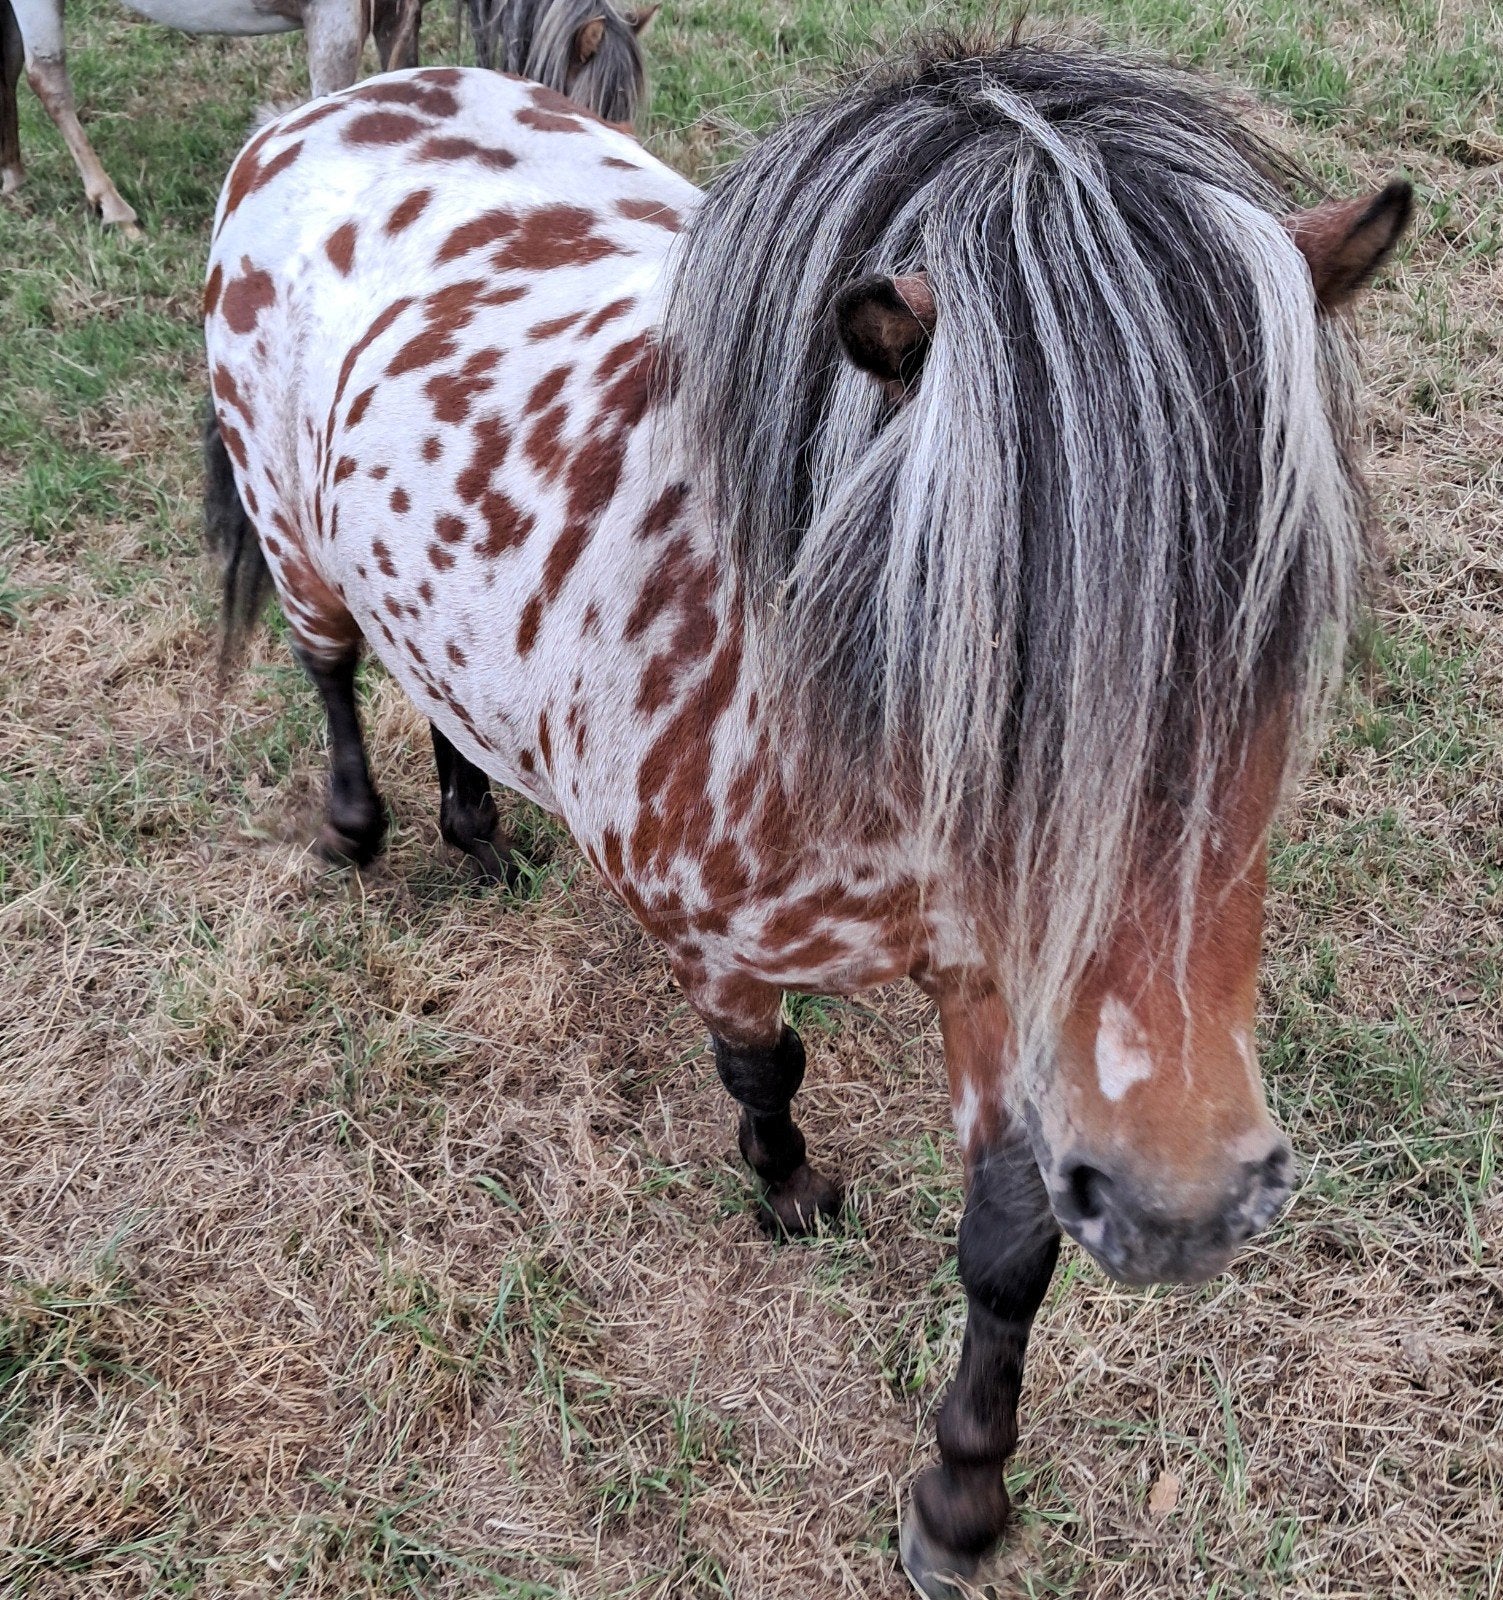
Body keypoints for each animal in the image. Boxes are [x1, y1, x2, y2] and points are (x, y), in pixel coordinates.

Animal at [201, 39, 1409, 1597]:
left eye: (1288, 621)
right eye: (968, 626)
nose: (1183, 1202)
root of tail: (332, 100)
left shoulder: (998, 988)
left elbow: (1008, 1245)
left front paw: (960, 1498)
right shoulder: (713, 945)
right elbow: (761, 1072)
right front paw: (787, 1192)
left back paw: (474, 823)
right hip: (293, 538)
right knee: (334, 667)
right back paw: (359, 827)